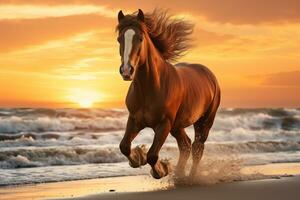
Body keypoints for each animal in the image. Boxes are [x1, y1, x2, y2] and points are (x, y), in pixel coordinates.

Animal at [116, 8, 221, 179]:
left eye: (140, 38)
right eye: (119, 39)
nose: (126, 70)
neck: (150, 89)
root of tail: (209, 74)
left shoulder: (164, 124)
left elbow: (152, 155)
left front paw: (161, 170)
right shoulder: (134, 120)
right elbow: (124, 146)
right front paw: (137, 159)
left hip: (204, 122)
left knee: (197, 148)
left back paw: (189, 178)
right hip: (177, 126)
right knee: (185, 145)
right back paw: (179, 175)